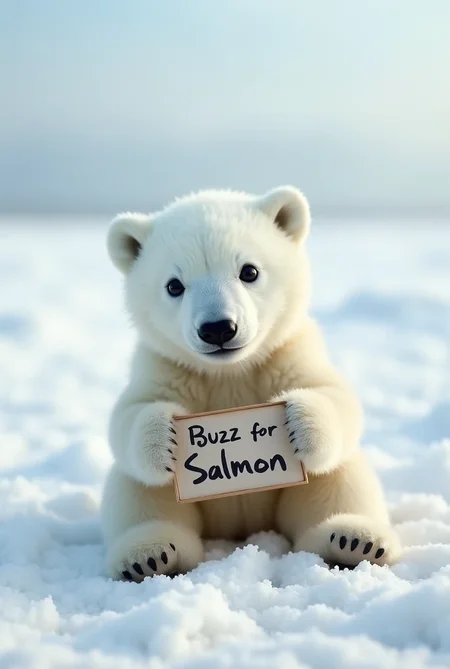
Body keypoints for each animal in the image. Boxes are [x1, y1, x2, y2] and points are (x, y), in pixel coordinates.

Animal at [101, 186, 402, 581]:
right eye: (174, 285)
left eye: (249, 270)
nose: (218, 328)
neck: (231, 371)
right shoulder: (165, 364)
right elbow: (129, 414)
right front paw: (164, 436)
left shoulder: (288, 351)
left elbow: (336, 397)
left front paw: (299, 422)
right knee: (138, 491)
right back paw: (150, 553)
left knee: (339, 478)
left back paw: (353, 539)